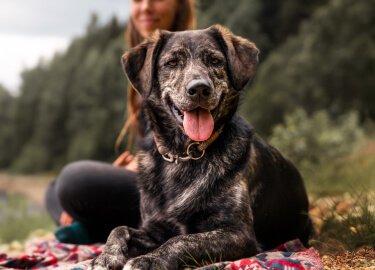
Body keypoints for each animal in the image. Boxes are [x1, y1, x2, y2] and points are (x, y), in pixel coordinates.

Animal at [90, 25, 308, 270]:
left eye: (215, 60)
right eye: (172, 63)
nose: (200, 89)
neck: (182, 155)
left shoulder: (238, 233)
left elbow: (183, 240)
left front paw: (148, 260)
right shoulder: (155, 228)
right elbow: (119, 229)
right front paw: (106, 256)